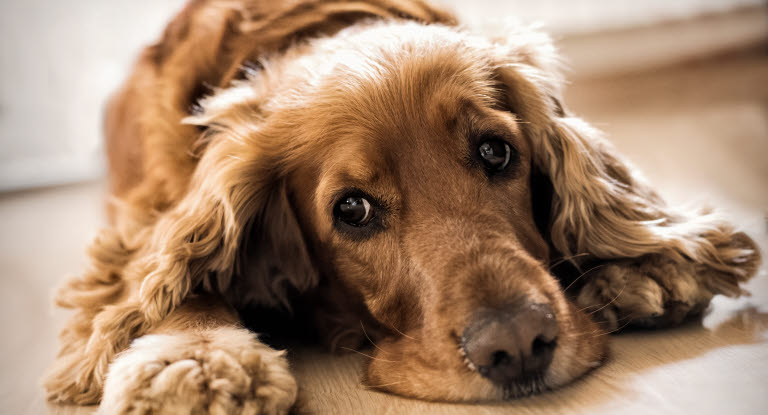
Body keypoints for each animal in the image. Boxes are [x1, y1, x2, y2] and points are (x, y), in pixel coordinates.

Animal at [43, 0, 760, 412]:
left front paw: (644, 267)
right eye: (352, 210)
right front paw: (192, 360)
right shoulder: (138, 220)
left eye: (496, 151)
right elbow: (165, 280)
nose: (517, 345)